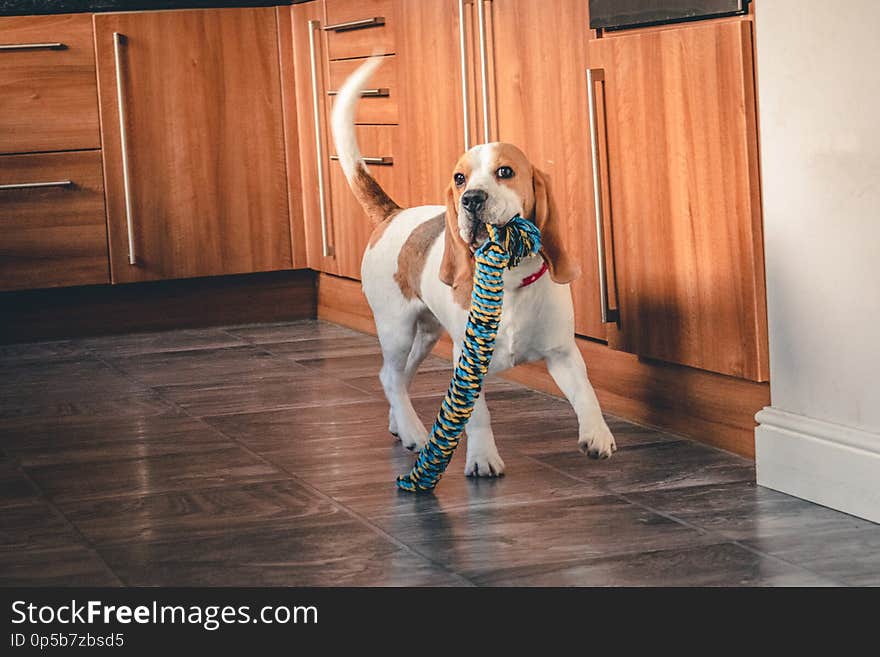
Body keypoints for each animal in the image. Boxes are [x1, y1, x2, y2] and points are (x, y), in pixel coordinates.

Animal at [330, 57, 612, 476]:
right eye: (460, 178)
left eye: (505, 172)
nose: (472, 199)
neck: (509, 283)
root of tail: (393, 214)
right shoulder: (466, 366)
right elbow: (478, 417)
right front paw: (482, 458)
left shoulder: (563, 353)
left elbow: (587, 393)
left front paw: (597, 434)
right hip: (396, 328)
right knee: (391, 377)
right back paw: (414, 431)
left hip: (426, 335)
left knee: (396, 378)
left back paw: (401, 423)